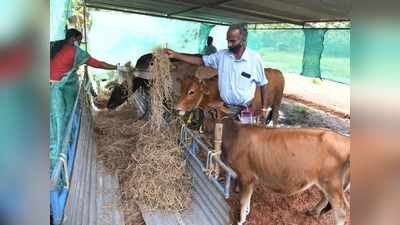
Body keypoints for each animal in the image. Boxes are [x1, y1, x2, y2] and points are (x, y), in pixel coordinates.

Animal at [203, 105, 350, 225]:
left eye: (205, 113)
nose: (200, 126)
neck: (234, 135)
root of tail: (344, 139)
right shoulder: (252, 178)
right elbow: (248, 198)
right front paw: (247, 213)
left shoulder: (245, 175)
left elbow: (243, 201)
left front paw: (241, 220)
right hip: (326, 183)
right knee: (325, 198)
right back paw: (313, 211)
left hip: (332, 183)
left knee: (342, 209)